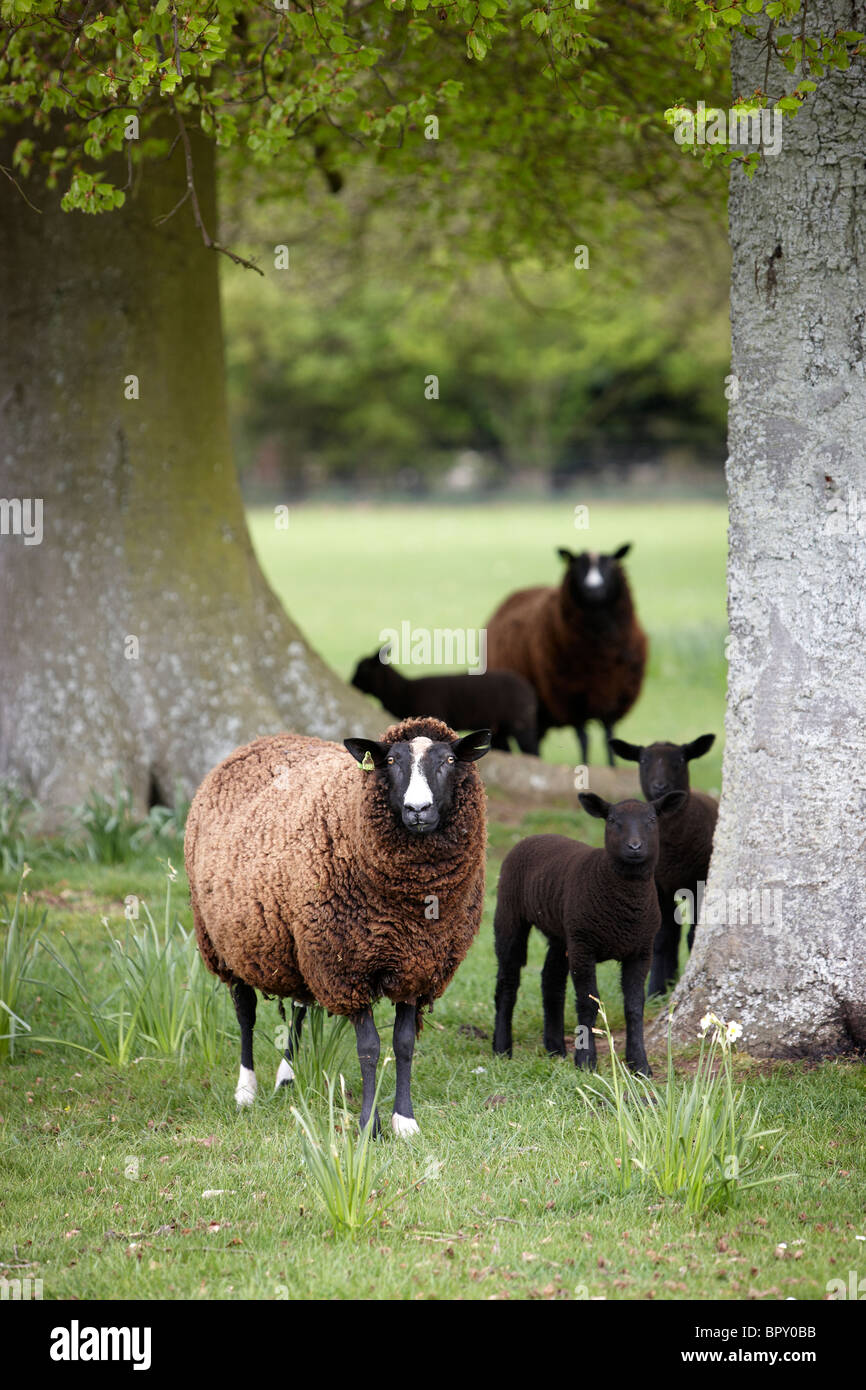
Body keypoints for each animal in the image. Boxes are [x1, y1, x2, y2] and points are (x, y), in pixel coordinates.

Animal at [184, 716, 491, 1137]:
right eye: (390, 761)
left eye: (448, 760)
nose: (418, 809)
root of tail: (260, 741)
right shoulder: (347, 969)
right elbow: (370, 1049)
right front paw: (368, 1126)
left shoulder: (417, 963)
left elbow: (404, 1044)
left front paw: (405, 1121)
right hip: (228, 940)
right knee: (245, 1011)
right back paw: (246, 1089)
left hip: (297, 944)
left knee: (298, 1004)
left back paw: (287, 1076)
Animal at [351, 645, 539, 754]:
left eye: (363, 669)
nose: (351, 684)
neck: (404, 691)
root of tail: (529, 689)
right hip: (500, 729)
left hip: (522, 724)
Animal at [484, 544, 647, 766]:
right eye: (578, 566)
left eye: (610, 566)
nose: (593, 589)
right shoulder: (571, 698)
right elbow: (584, 739)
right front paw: (585, 766)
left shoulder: (613, 698)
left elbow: (609, 738)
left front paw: (612, 767)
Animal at [492, 790, 686, 1075]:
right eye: (613, 820)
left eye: (652, 820)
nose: (635, 847)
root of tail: (533, 837)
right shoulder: (584, 947)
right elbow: (588, 1003)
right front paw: (586, 1061)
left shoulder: (640, 950)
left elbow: (634, 1006)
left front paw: (639, 1064)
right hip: (510, 915)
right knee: (508, 982)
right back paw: (502, 1049)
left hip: (562, 932)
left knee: (551, 981)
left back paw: (555, 1049)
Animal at [609, 734, 718, 997]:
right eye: (643, 761)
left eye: (680, 760)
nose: (660, 787)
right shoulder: (657, 885)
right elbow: (660, 939)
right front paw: (655, 991)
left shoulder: (699, 880)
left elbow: (694, 934)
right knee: (672, 930)